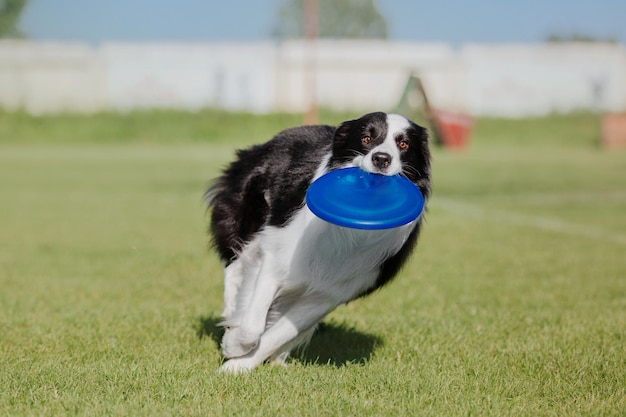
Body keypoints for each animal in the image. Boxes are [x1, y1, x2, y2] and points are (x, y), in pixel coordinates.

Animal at [205, 110, 428, 370]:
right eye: (366, 138)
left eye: (404, 144)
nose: (381, 158)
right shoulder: (277, 254)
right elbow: (252, 325)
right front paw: (233, 345)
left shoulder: (331, 293)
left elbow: (278, 334)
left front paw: (239, 366)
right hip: (245, 216)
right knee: (234, 265)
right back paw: (231, 312)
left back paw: (278, 359)